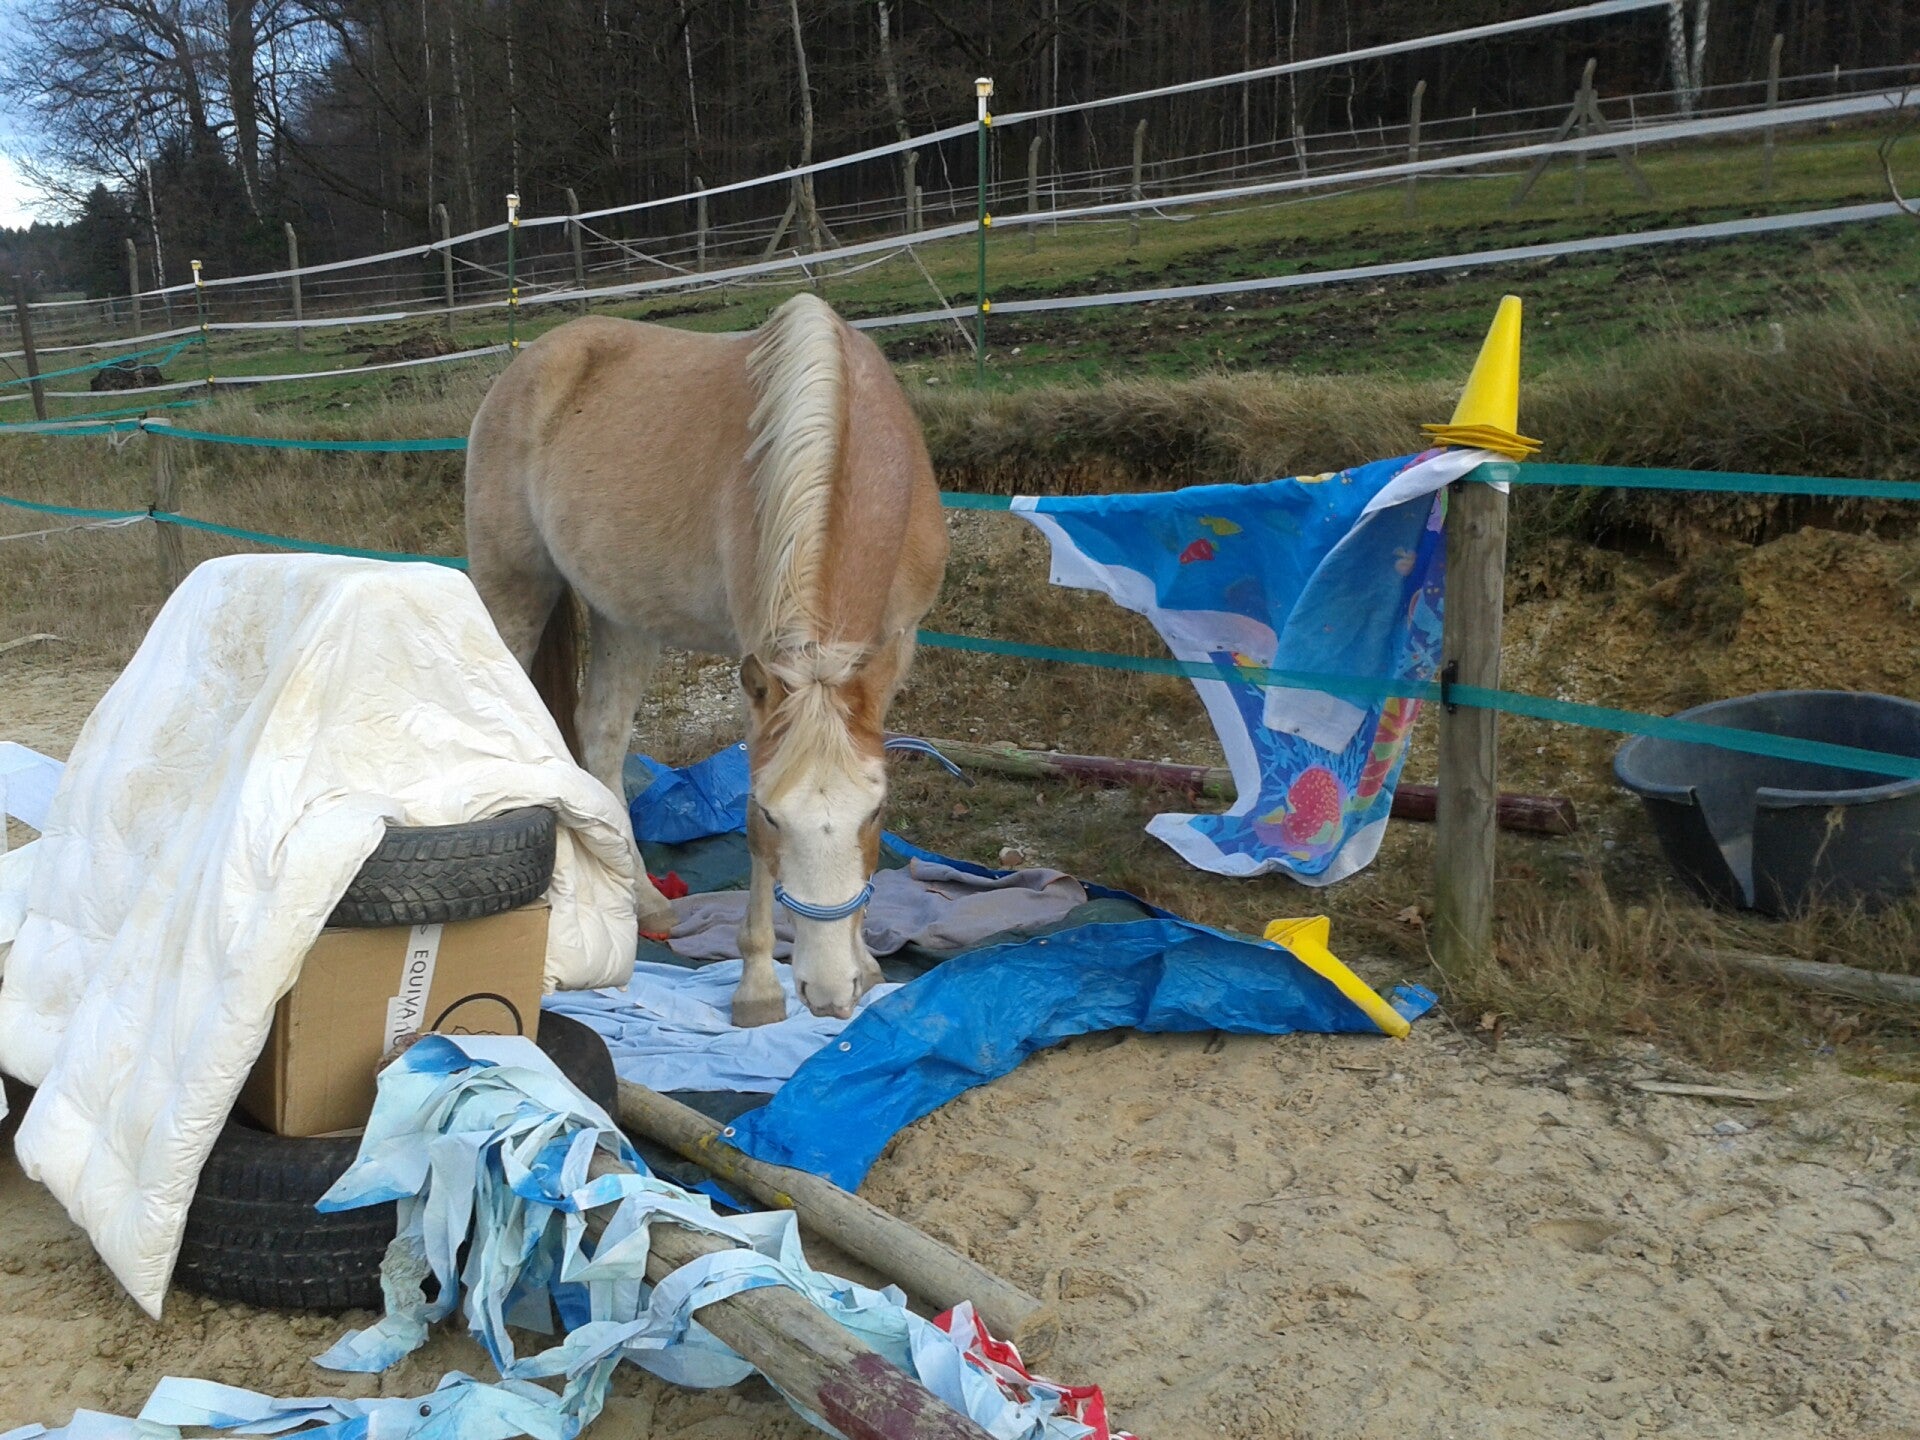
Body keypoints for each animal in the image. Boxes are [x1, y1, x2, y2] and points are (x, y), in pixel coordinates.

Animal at [465, 294, 948, 1026]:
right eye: (773, 817)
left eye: (875, 813)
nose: (827, 992)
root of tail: (529, 365)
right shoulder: (762, 666)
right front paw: (758, 988)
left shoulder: (896, 643)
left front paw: (865, 963)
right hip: (513, 589)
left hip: (624, 616)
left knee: (601, 739)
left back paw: (644, 903)